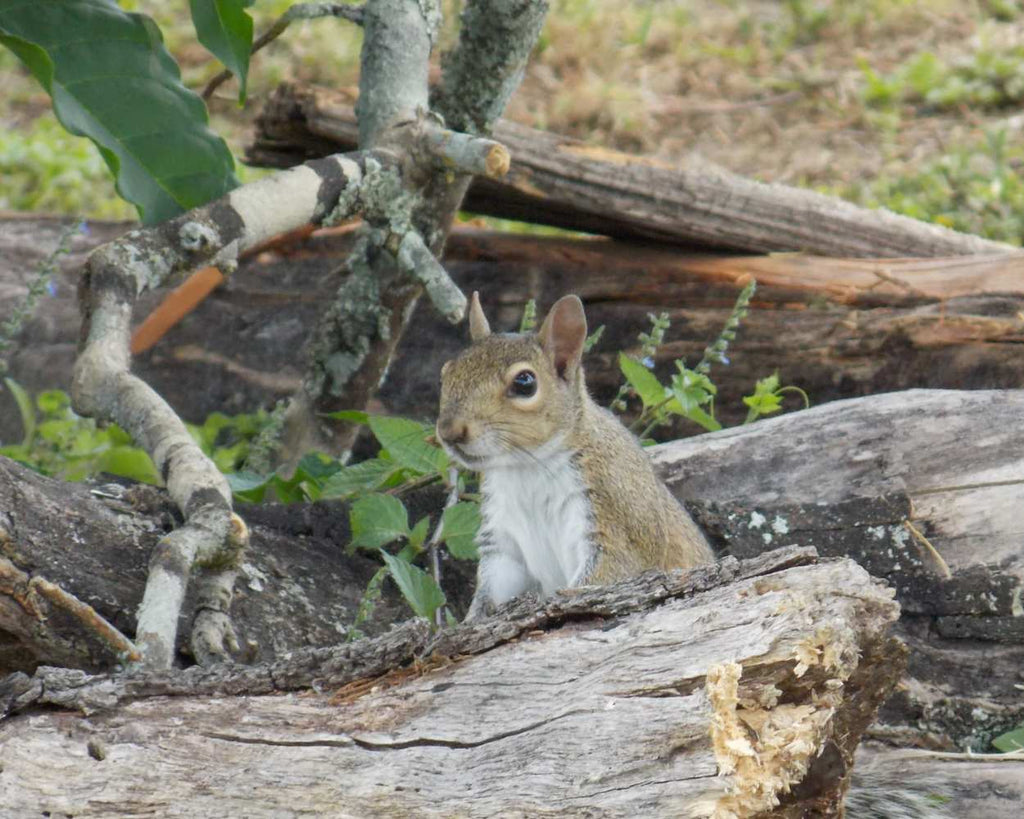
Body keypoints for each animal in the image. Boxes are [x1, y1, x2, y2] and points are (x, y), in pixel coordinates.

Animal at [436, 292, 714, 621]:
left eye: (525, 383)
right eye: (446, 373)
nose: (449, 431)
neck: (526, 467)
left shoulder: (616, 517)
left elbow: (605, 576)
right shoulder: (504, 539)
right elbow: (495, 586)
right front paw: (472, 620)